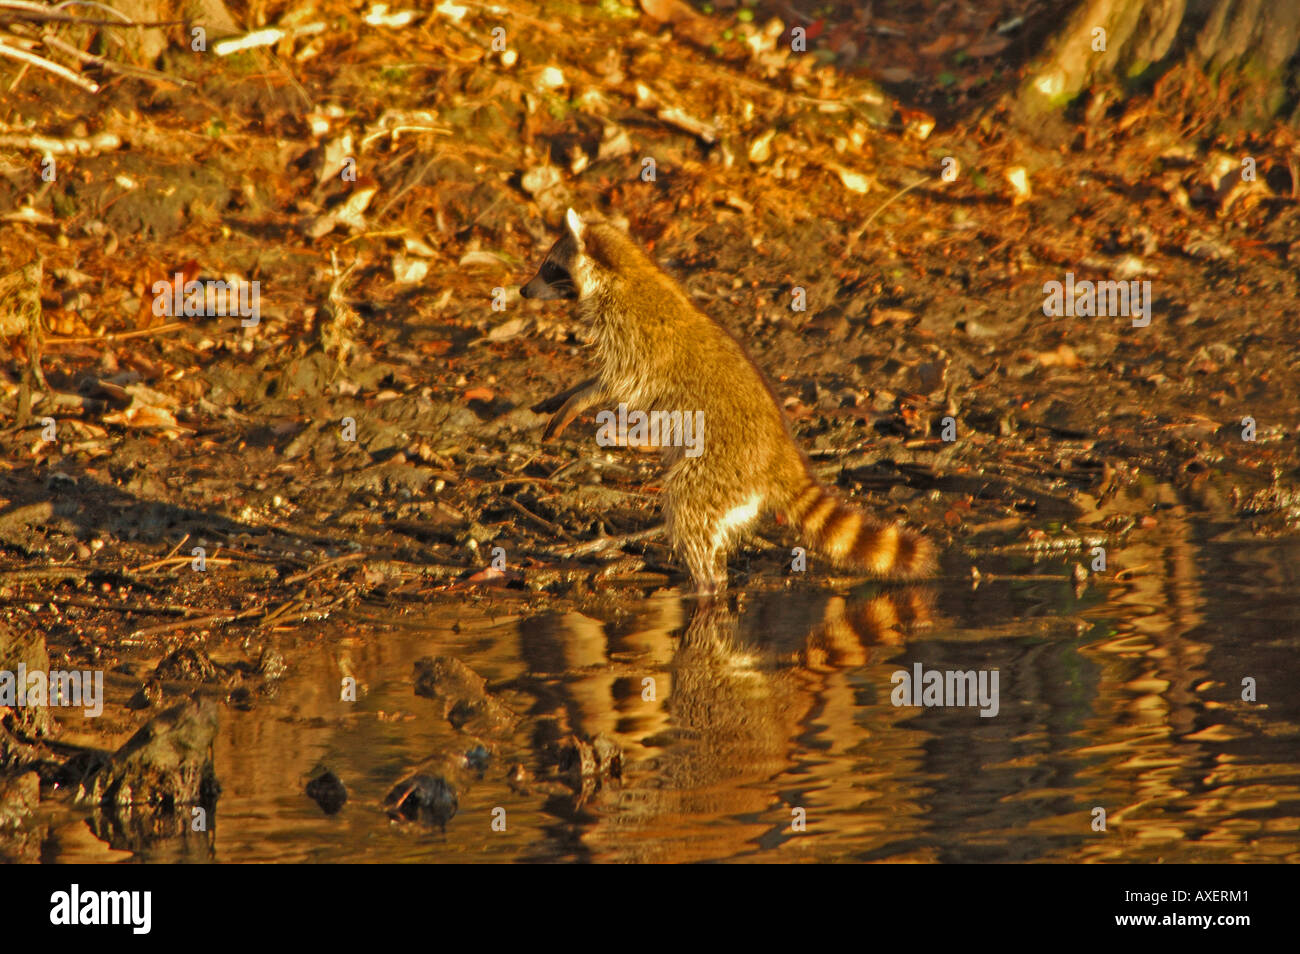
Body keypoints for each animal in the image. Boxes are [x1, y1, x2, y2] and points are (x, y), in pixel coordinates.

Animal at [520, 208, 934, 593]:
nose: (523, 291)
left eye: (550, 266)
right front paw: (563, 395)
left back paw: (705, 584)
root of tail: (780, 453)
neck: (623, 272)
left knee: (688, 506)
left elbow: (616, 383)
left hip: (719, 466)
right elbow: (602, 378)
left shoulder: (636, 340)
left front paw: (577, 401)